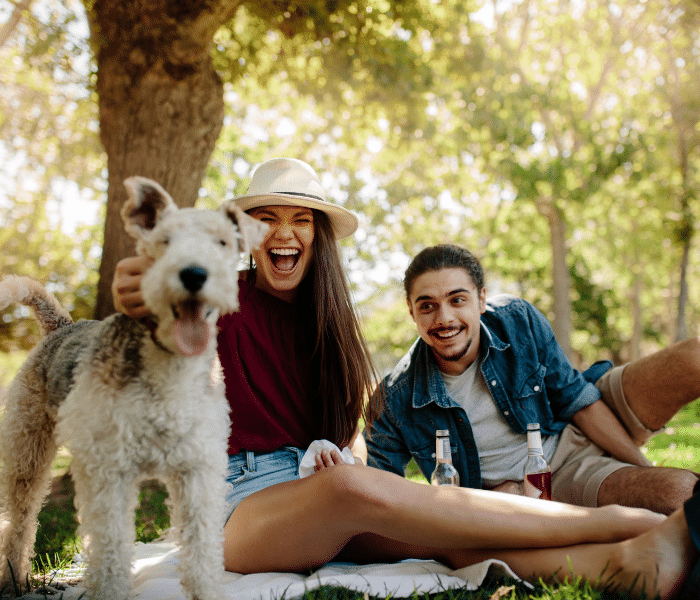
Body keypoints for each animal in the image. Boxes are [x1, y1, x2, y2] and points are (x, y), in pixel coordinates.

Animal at [0, 178, 266, 600]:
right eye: (165, 241)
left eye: (223, 242)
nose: (194, 274)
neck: (169, 372)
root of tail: (61, 326)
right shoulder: (109, 472)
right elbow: (110, 554)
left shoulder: (198, 470)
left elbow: (202, 552)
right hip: (28, 449)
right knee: (19, 520)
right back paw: (14, 579)